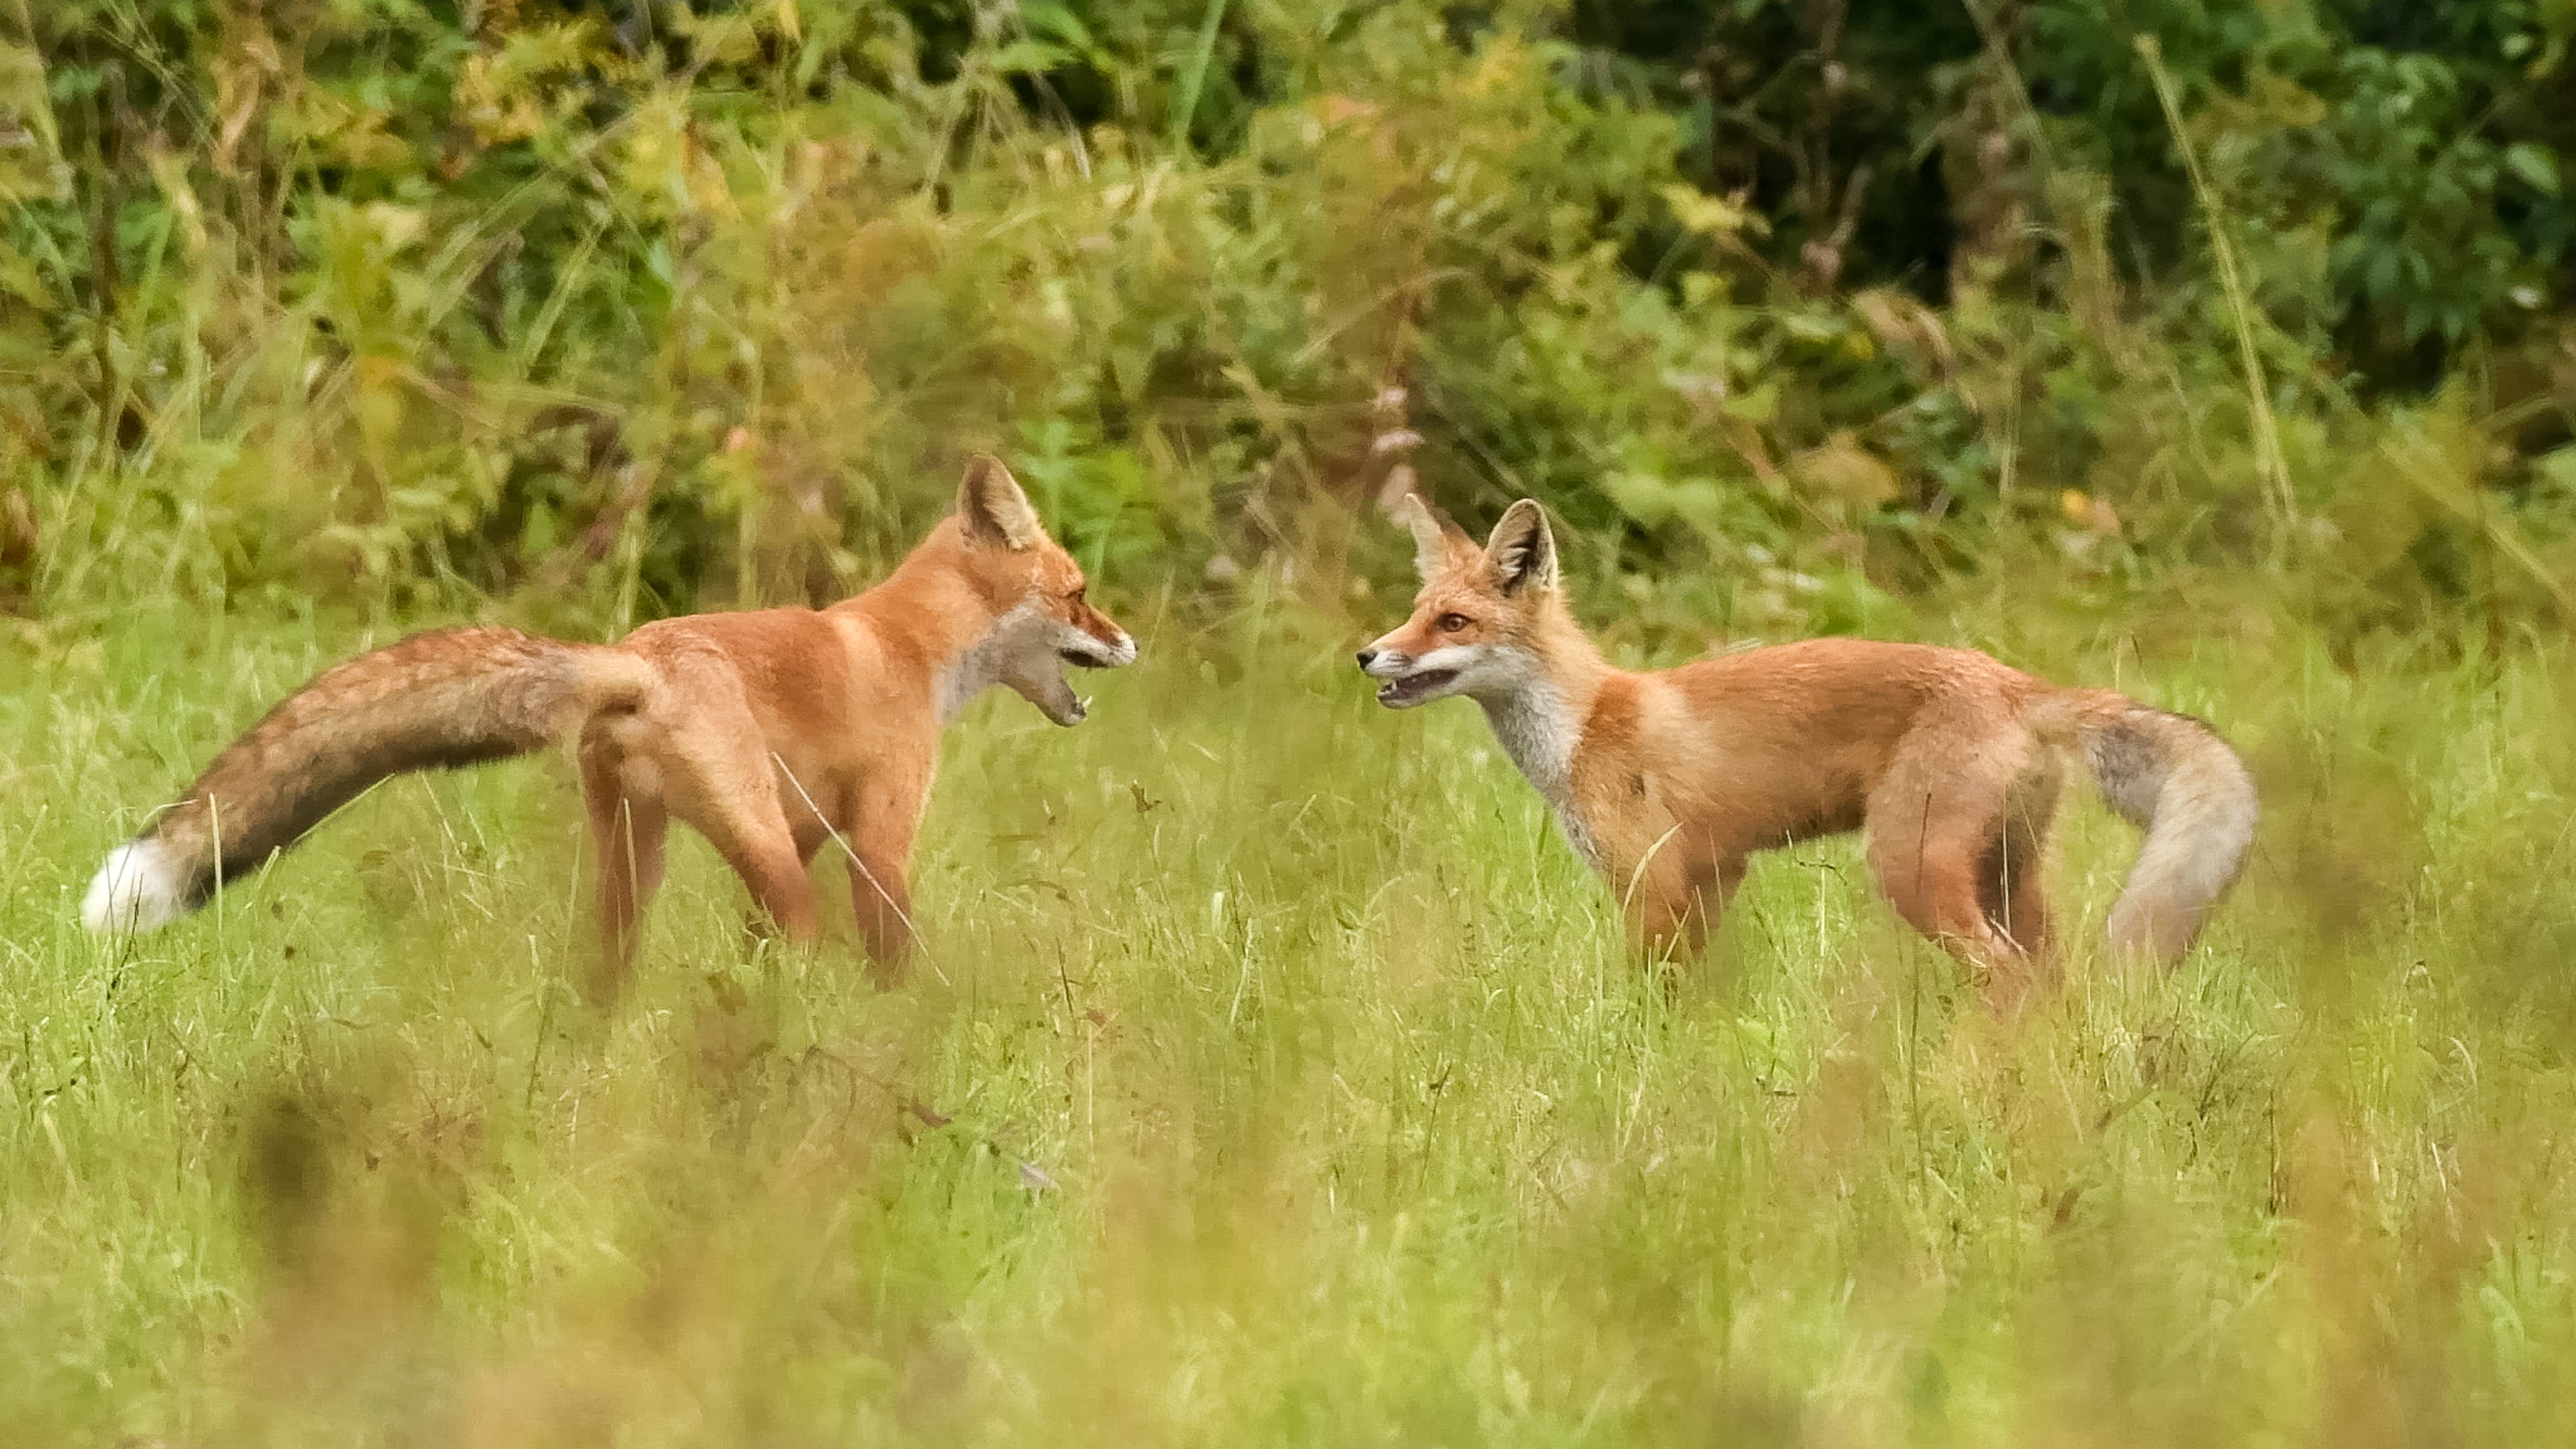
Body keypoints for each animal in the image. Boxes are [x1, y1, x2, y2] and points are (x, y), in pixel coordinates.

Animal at [86, 456, 1133, 974]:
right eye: (1080, 594)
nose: (1132, 643)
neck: (911, 647)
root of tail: (637, 653)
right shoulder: (876, 840)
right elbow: (897, 957)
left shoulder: (815, 831)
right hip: (763, 859)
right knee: (799, 946)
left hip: (645, 861)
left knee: (604, 974)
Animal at [1360, 489, 2266, 1010]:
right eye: (1414, 613)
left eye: (1453, 623)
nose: (1367, 654)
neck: (1584, 724)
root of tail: (2015, 680)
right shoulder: (1714, 876)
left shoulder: (1651, 880)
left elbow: (1648, 1001)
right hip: (2006, 875)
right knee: (2050, 978)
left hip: (1910, 868)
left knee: (2005, 975)